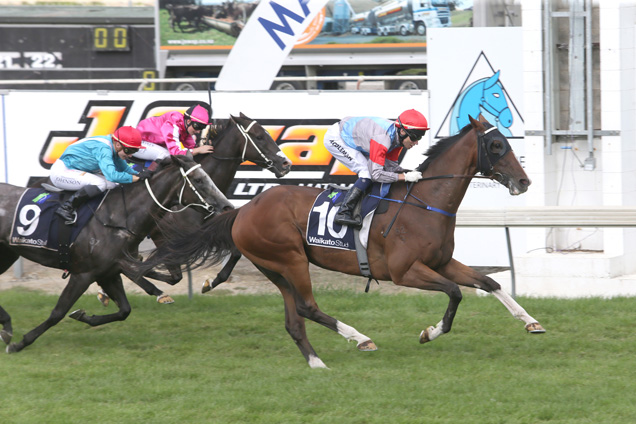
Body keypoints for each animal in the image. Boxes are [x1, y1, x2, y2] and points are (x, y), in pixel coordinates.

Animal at [0, 154, 234, 352]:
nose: (227, 207)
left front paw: (84, 316)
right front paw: (21, 343)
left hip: (8, 253)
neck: (118, 217)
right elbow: (58, 312)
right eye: (199, 180)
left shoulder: (108, 272)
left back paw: (6, 325)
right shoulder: (83, 274)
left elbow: (124, 310)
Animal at [138, 116, 540, 368]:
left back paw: (317, 361)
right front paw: (429, 332)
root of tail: (245, 208)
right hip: (290, 259)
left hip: (275, 268)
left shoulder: (442, 263)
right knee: (308, 307)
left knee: (295, 317)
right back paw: (360, 337)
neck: (424, 202)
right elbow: (455, 294)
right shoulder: (405, 271)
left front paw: (531, 322)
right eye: (496, 144)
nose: (524, 182)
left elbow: (489, 283)